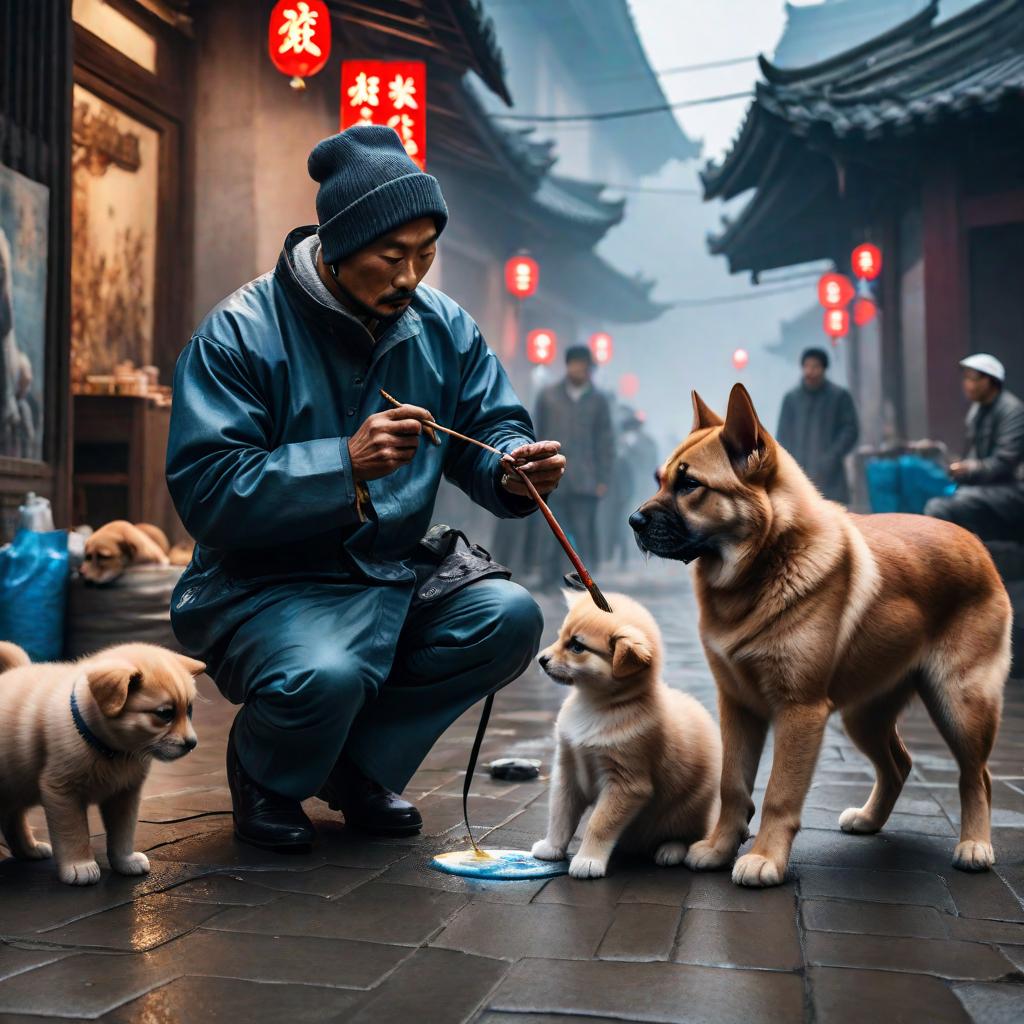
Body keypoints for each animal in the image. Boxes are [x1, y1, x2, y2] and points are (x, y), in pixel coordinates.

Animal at [0, 643, 205, 884]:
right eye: (165, 714)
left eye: (189, 710)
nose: (192, 743)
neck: (110, 751)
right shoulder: (62, 792)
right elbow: (74, 833)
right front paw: (80, 865)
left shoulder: (125, 794)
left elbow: (123, 832)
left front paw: (125, 860)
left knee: (12, 817)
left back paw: (29, 850)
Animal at [532, 593, 724, 880]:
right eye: (560, 637)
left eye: (577, 646)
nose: (541, 659)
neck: (596, 705)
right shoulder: (567, 770)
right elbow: (560, 814)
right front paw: (551, 847)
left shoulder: (626, 783)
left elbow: (599, 823)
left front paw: (588, 860)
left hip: (690, 807)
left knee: (689, 834)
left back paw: (671, 849)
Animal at [626, 385, 1011, 888]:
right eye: (660, 480)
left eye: (691, 486)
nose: (632, 521)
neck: (765, 566)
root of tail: (976, 543)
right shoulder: (738, 707)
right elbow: (733, 785)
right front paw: (718, 848)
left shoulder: (799, 712)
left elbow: (779, 793)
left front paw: (765, 858)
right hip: (862, 716)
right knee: (900, 764)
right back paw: (869, 819)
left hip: (959, 704)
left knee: (977, 776)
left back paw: (975, 845)